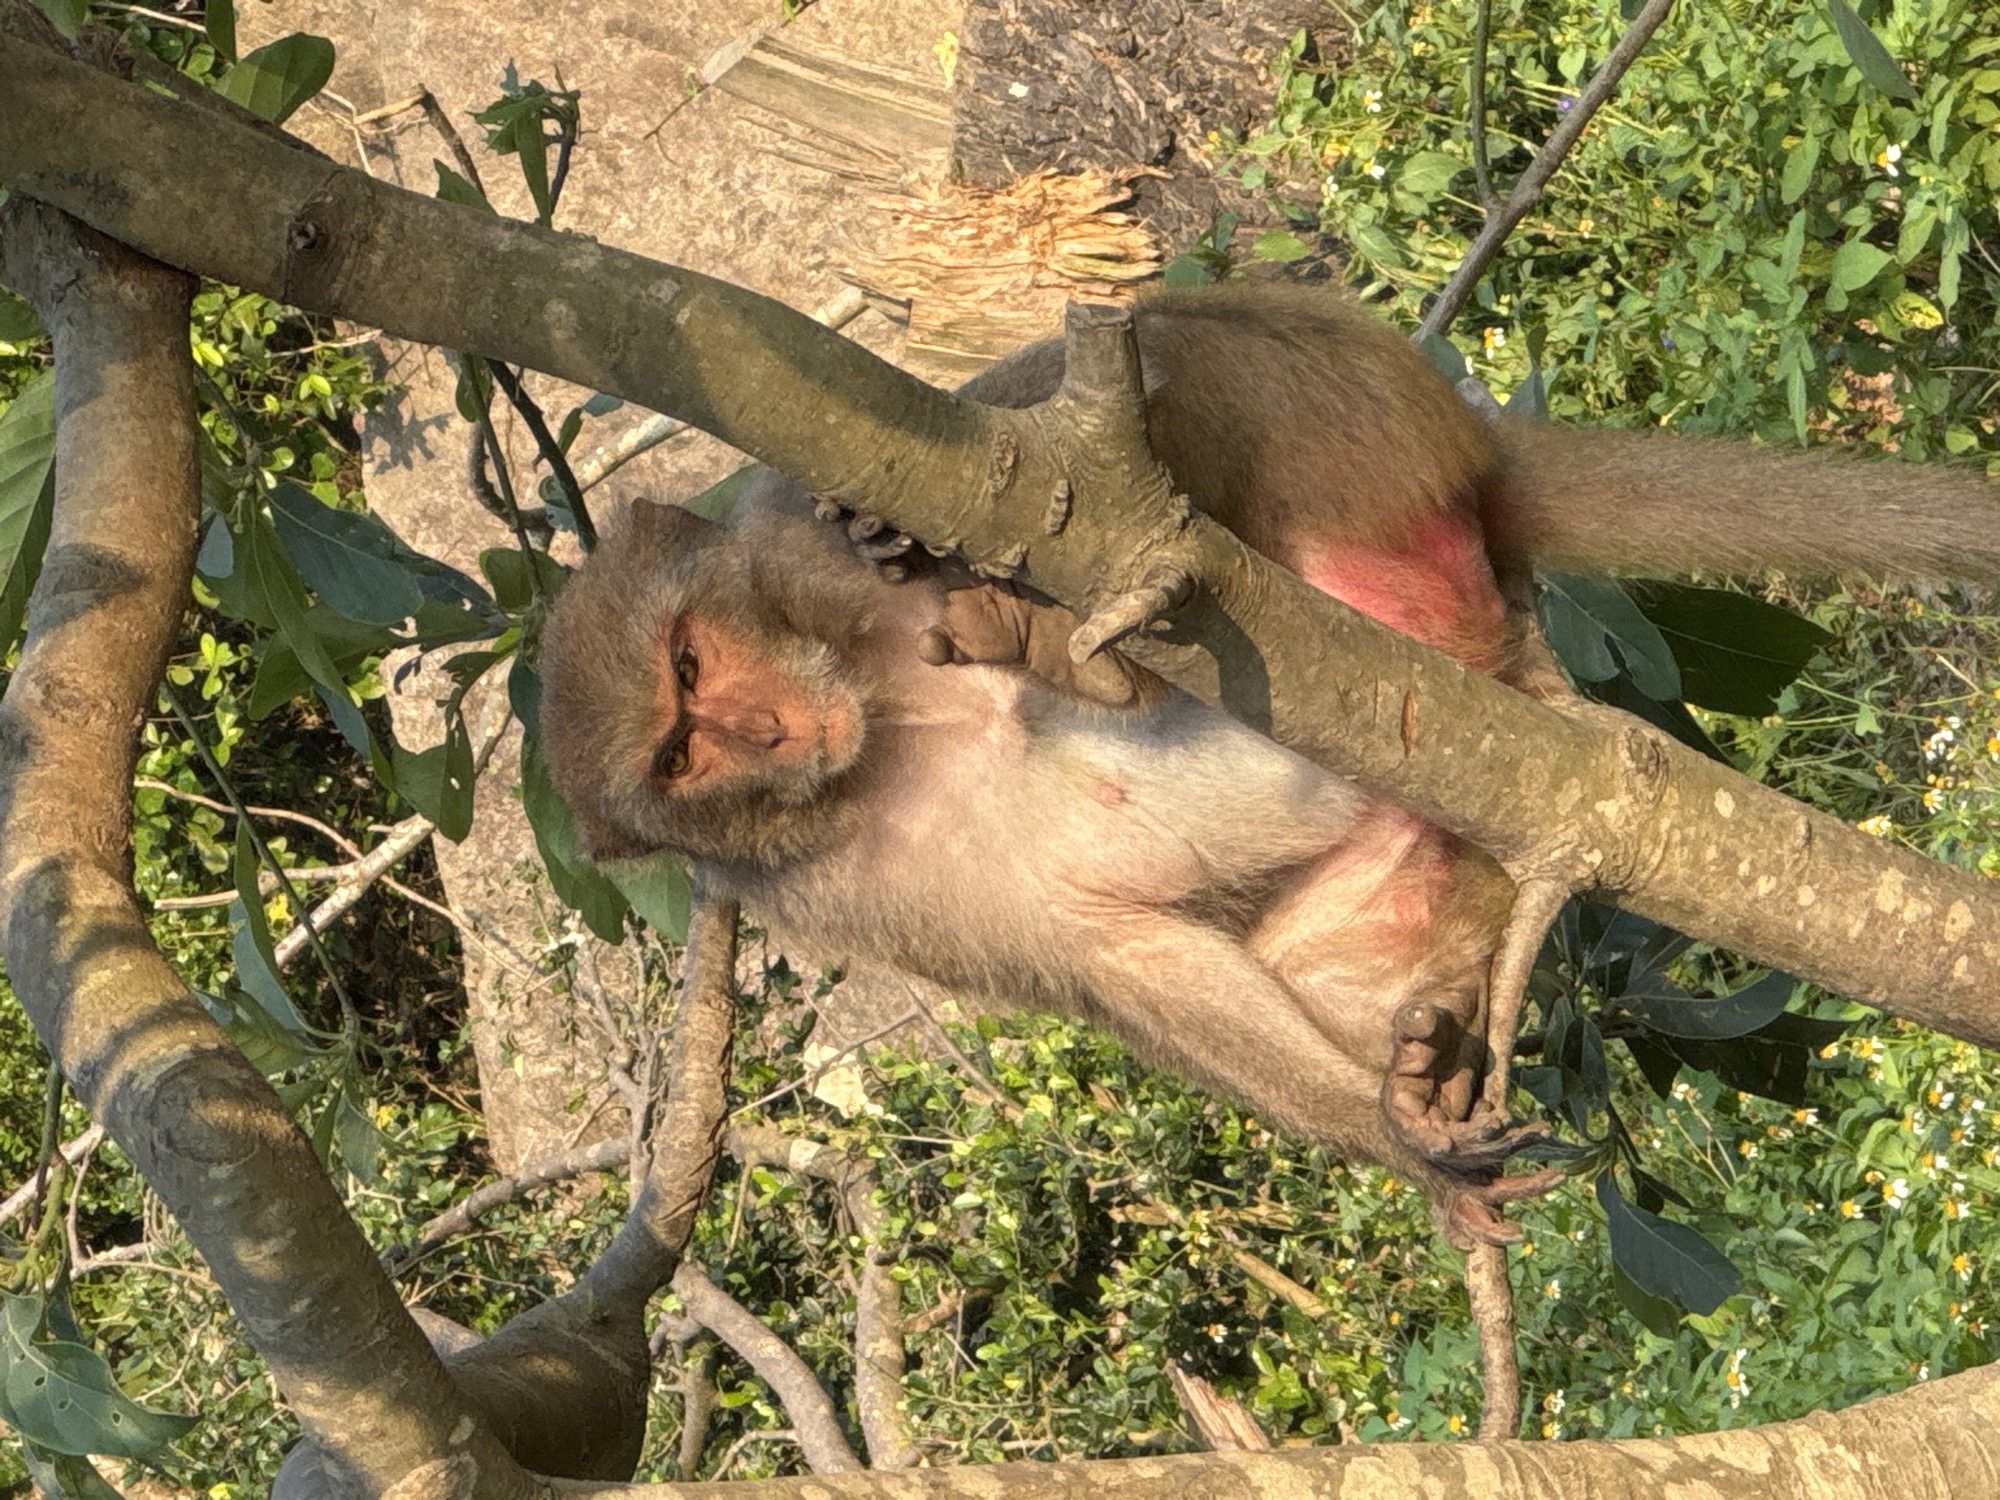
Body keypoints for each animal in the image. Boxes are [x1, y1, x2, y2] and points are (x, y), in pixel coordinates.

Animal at [537, 282, 2000, 1244]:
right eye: (678, 746)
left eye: (687, 665)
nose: (768, 735)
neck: (883, 728)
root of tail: (1470, 456)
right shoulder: (831, 893)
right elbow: (1116, 950)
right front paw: (1404, 1141)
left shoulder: (784, 537)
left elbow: (949, 446)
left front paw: (904, 535)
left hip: (1341, 419)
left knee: (1165, 366)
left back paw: (1087, 618)